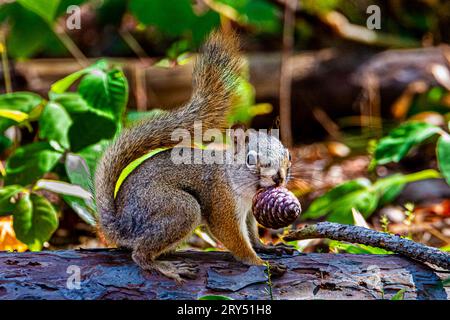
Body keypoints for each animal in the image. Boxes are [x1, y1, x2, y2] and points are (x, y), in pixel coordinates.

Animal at [94, 31, 292, 282]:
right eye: (250, 160)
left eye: (288, 155)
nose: (279, 177)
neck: (241, 186)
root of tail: (120, 225)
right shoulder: (221, 203)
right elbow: (235, 240)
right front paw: (261, 264)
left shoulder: (247, 212)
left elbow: (251, 233)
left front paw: (266, 247)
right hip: (180, 208)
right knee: (139, 254)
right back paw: (166, 267)